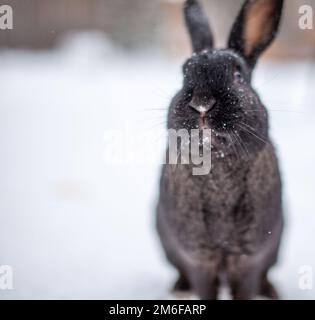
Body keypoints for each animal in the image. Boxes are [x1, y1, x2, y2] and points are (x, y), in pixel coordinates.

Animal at [157, 0, 286, 300]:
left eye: (238, 75)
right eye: (184, 74)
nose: (202, 103)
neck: (217, 164)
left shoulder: (248, 259)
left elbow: (246, 288)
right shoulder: (200, 259)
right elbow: (205, 288)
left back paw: (271, 291)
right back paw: (179, 288)